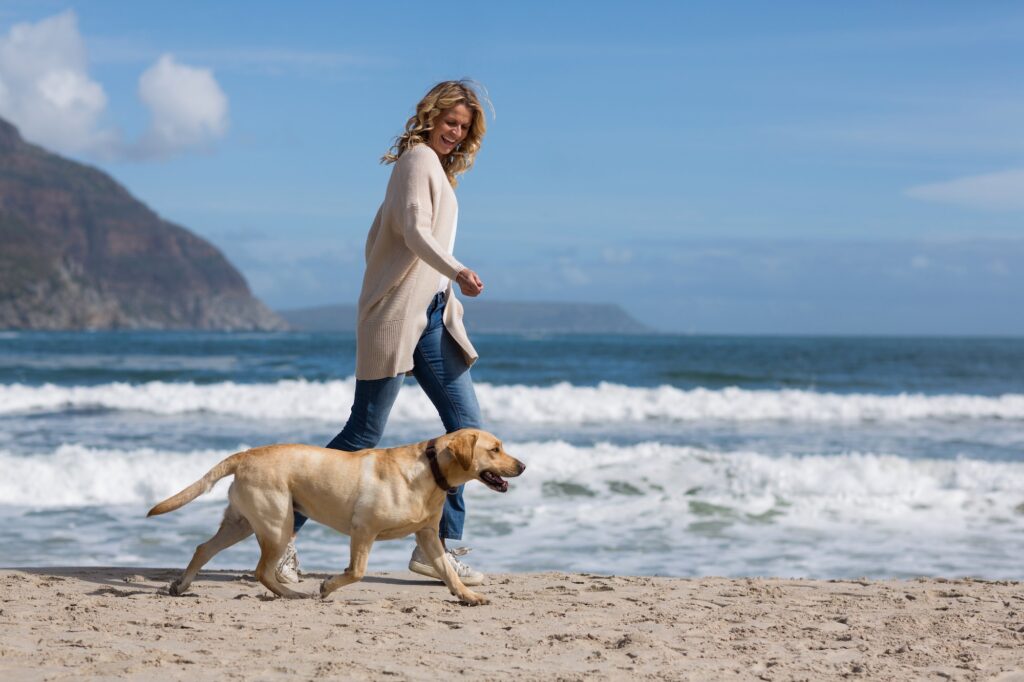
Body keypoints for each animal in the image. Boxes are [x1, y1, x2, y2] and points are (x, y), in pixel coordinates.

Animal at [144, 428, 524, 602]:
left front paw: (467, 596)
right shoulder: (363, 529)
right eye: (495, 449)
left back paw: (181, 585)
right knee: (261, 569)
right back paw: (293, 595)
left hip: (241, 523)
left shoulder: (428, 535)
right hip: (277, 523)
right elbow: (356, 571)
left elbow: (447, 571)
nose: (523, 465)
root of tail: (245, 455)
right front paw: (327, 586)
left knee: (203, 549)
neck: (430, 471)